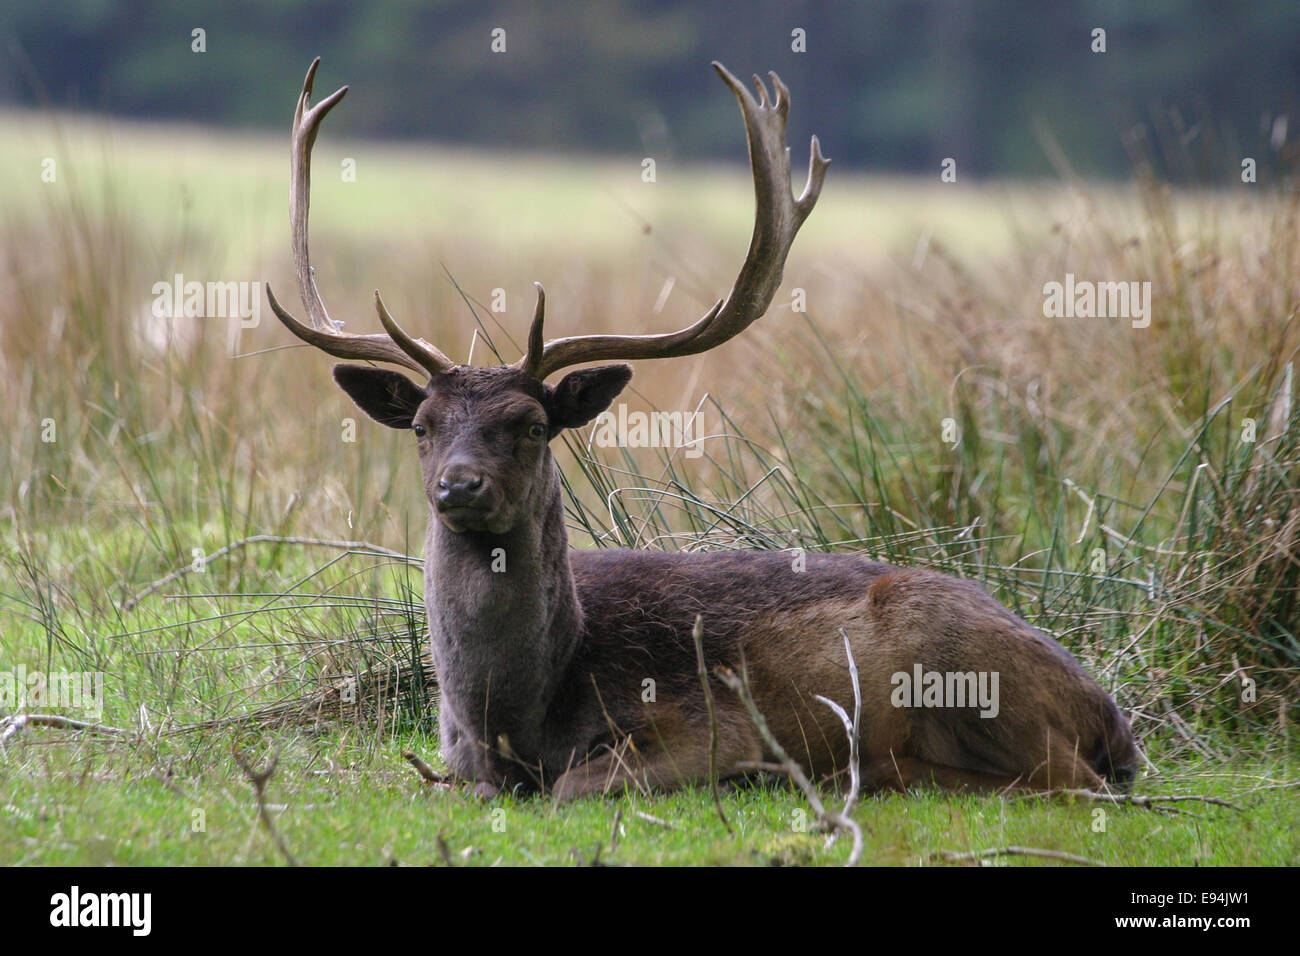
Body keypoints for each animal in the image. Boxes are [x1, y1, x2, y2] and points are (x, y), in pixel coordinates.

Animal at [266, 59, 1138, 806]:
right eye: (422, 425)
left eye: (533, 424)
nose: (459, 484)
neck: (518, 712)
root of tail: (1114, 717)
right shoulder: (456, 758)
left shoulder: (701, 723)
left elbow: (572, 785)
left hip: (970, 676)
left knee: (1067, 782)